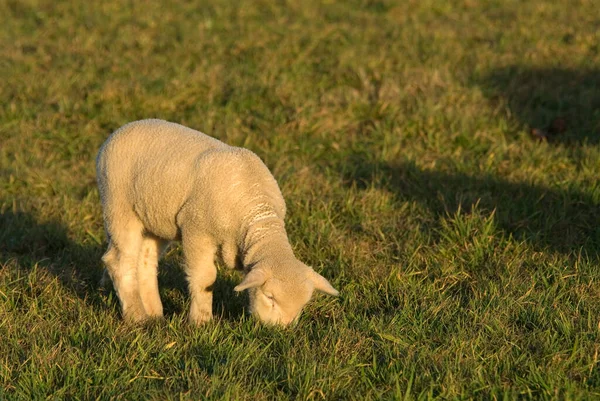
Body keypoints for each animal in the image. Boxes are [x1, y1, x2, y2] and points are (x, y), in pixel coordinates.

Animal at [94, 118, 338, 324]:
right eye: (269, 297)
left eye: (303, 305)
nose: (280, 331)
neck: (257, 216)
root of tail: (120, 130)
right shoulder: (196, 229)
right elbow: (205, 279)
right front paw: (201, 322)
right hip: (119, 205)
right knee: (119, 261)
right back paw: (137, 317)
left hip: (155, 217)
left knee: (145, 261)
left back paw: (155, 313)